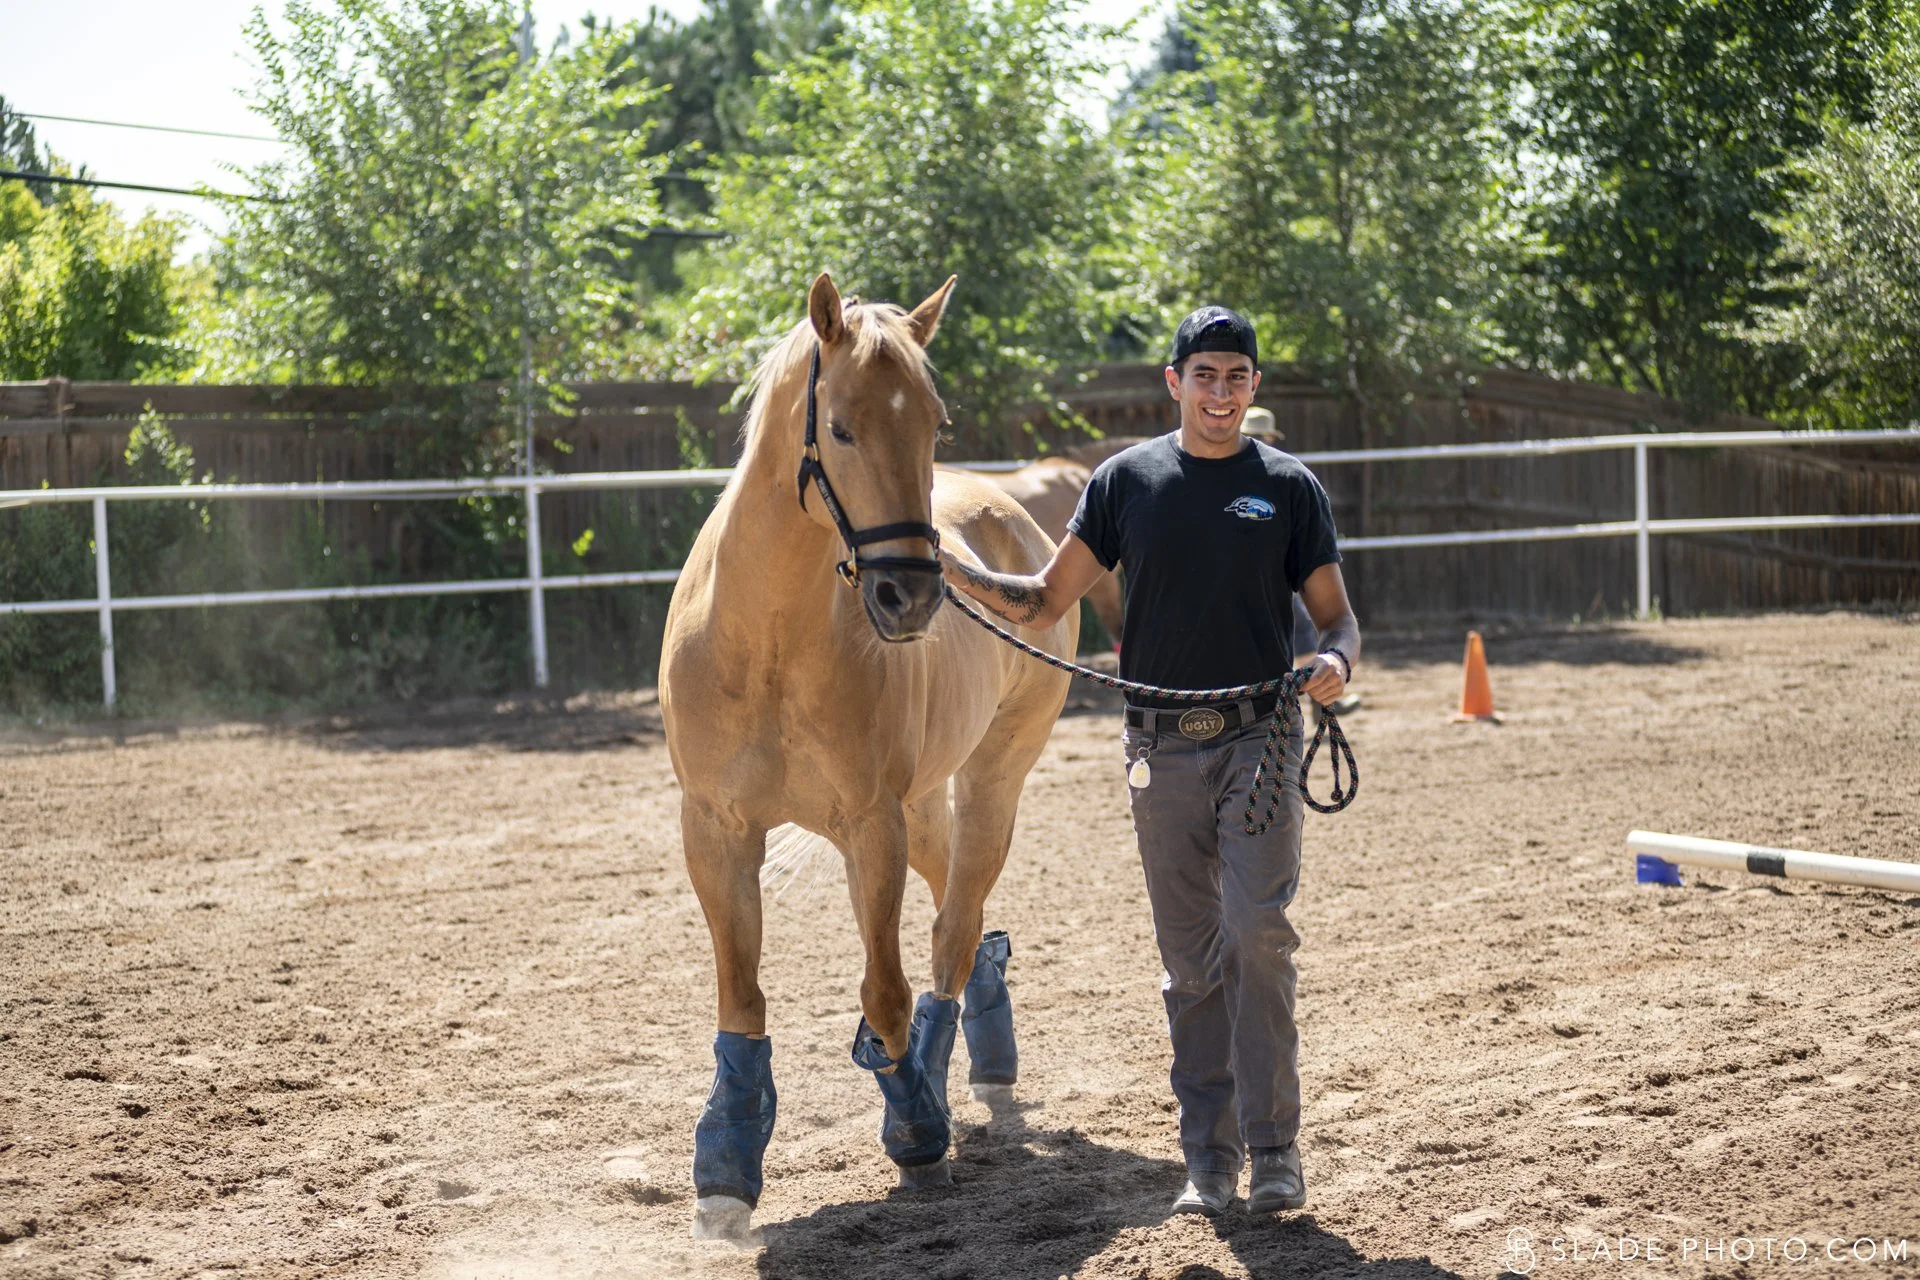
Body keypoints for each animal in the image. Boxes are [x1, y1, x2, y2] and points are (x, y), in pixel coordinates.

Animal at [658, 272, 1078, 1241]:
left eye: (934, 424)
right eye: (842, 427)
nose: (909, 594)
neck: (768, 641)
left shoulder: (868, 826)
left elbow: (885, 991)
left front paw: (917, 1133)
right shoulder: (717, 830)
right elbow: (741, 996)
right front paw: (725, 1169)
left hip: (991, 781)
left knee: (954, 929)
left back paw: (945, 1077)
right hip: (924, 806)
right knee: (964, 912)